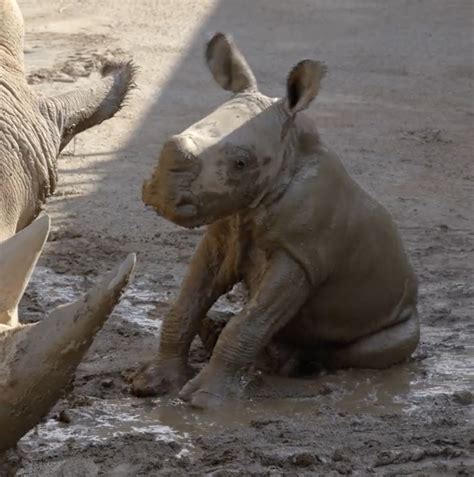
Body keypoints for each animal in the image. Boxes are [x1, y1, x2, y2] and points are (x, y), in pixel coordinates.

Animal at [132, 33, 418, 408]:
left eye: (241, 163)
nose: (163, 196)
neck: (288, 155)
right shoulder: (225, 230)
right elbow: (186, 303)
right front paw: (151, 382)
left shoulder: (300, 256)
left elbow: (249, 323)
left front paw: (204, 401)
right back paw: (220, 335)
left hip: (400, 313)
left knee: (371, 347)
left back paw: (294, 367)